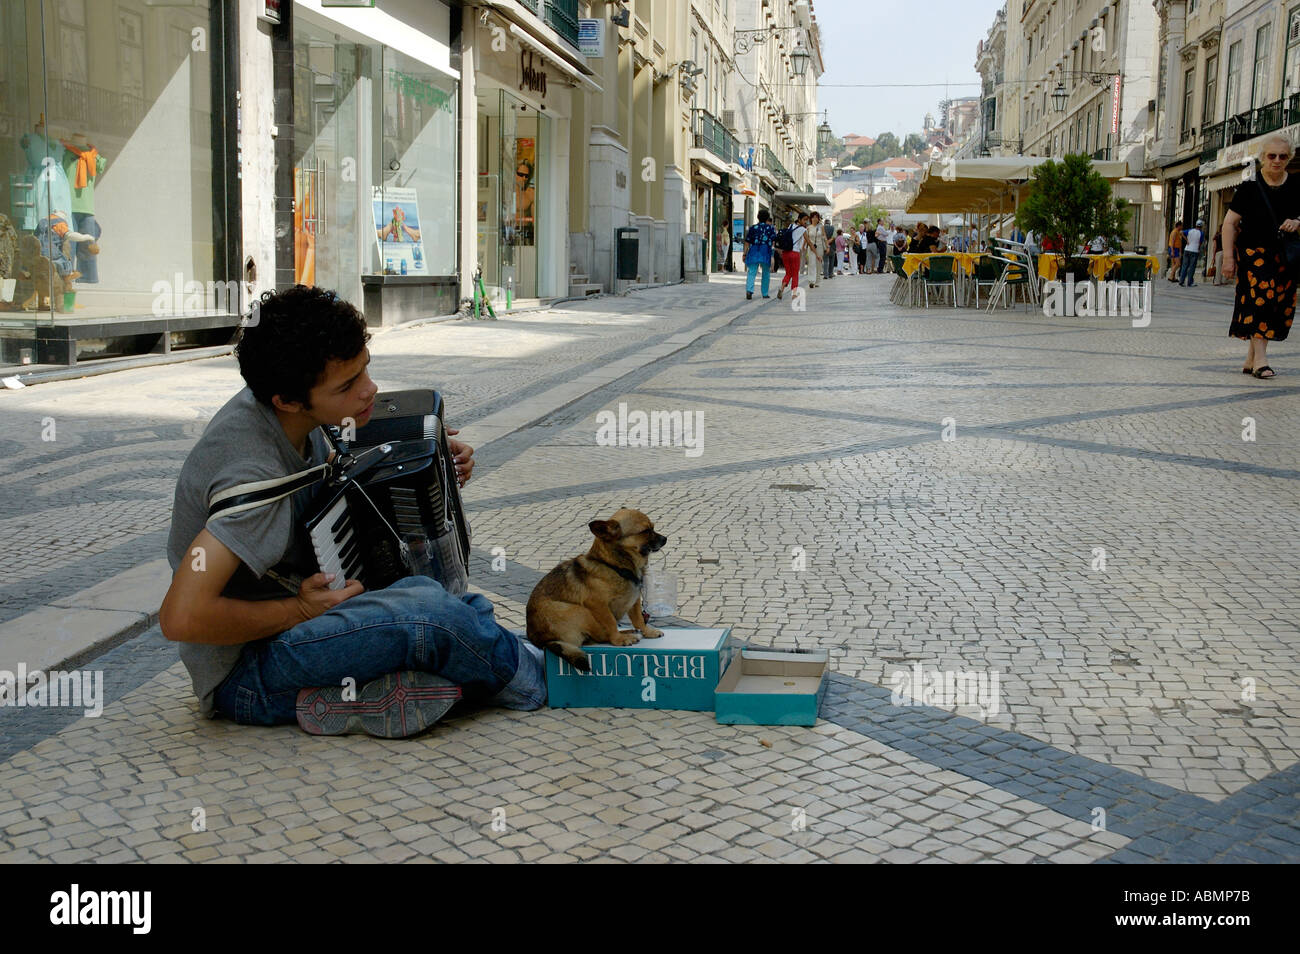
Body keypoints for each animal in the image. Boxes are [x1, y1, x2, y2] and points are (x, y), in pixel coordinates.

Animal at [527, 509, 670, 670]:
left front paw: (647, 632)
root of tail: (542, 641)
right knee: (601, 636)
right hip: (578, 610)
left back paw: (629, 631)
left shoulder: (634, 602)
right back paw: (624, 635)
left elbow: (639, 619)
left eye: (653, 527)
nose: (665, 539)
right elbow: (611, 623)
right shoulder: (598, 605)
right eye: (645, 531)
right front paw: (618, 639)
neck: (616, 567)